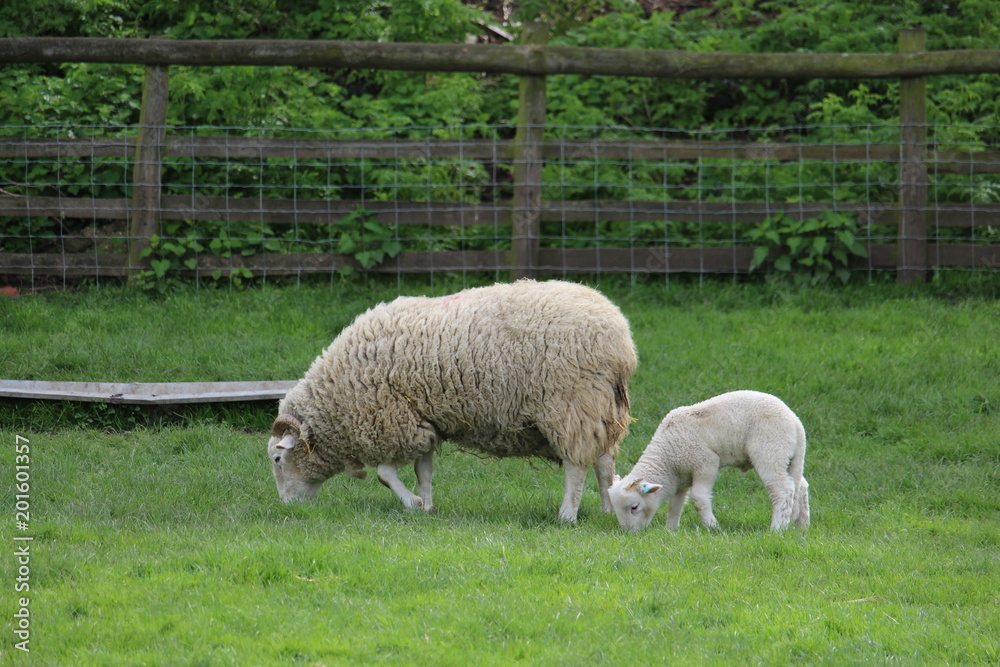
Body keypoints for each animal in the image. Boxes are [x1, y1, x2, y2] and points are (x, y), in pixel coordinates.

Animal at [270, 280, 636, 524]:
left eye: (277, 459)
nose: (287, 507)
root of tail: (620, 339)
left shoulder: (395, 419)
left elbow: (385, 473)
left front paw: (413, 503)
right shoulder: (422, 419)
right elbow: (424, 470)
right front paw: (428, 506)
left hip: (570, 403)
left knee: (576, 465)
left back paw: (567, 515)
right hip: (600, 405)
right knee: (604, 461)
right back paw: (607, 509)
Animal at [604, 392, 808, 532]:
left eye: (634, 507)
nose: (630, 533)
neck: (667, 456)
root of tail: (796, 422)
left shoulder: (706, 463)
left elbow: (698, 499)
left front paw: (713, 527)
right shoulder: (681, 479)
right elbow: (675, 504)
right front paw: (671, 530)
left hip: (770, 451)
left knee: (782, 490)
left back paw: (777, 528)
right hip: (790, 457)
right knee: (801, 485)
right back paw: (802, 526)